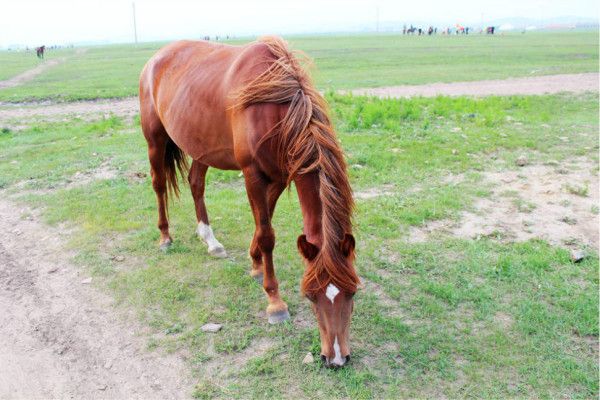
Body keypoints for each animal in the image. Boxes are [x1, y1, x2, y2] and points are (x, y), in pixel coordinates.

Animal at [138, 37, 358, 368]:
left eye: (353, 293)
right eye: (310, 295)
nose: (335, 358)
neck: (274, 107)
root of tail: (156, 59)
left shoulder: (279, 177)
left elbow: (263, 222)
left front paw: (255, 264)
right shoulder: (253, 174)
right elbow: (267, 234)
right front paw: (275, 302)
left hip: (201, 147)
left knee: (195, 183)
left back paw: (210, 240)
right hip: (155, 139)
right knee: (159, 184)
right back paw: (165, 236)